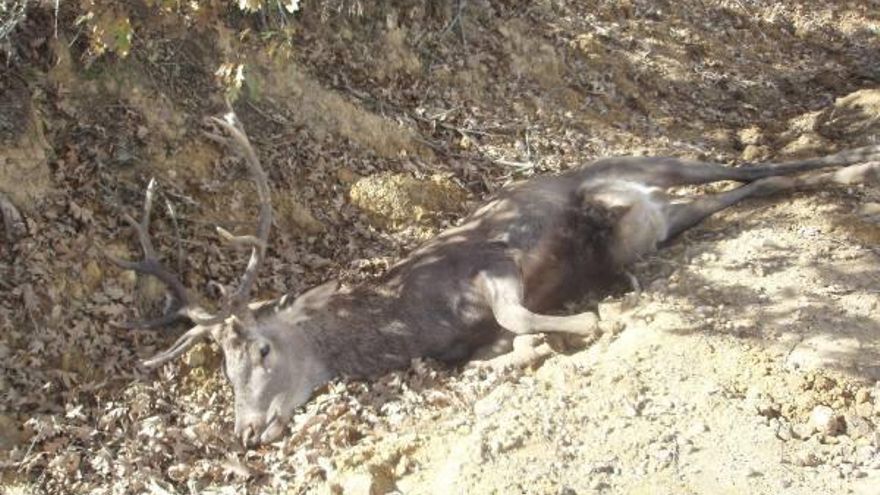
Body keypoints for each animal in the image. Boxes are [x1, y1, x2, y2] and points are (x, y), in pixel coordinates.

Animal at [113, 114, 880, 448]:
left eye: (263, 349)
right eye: (220, 369)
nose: (246, 432)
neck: (417, 316)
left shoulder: (493, 261)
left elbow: (519, 317)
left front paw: (592, 323)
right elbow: (501, 341)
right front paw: (523, 352)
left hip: (649, 160)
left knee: (745, 165)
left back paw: (858, 161)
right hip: (669, 215)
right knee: (746, 187)